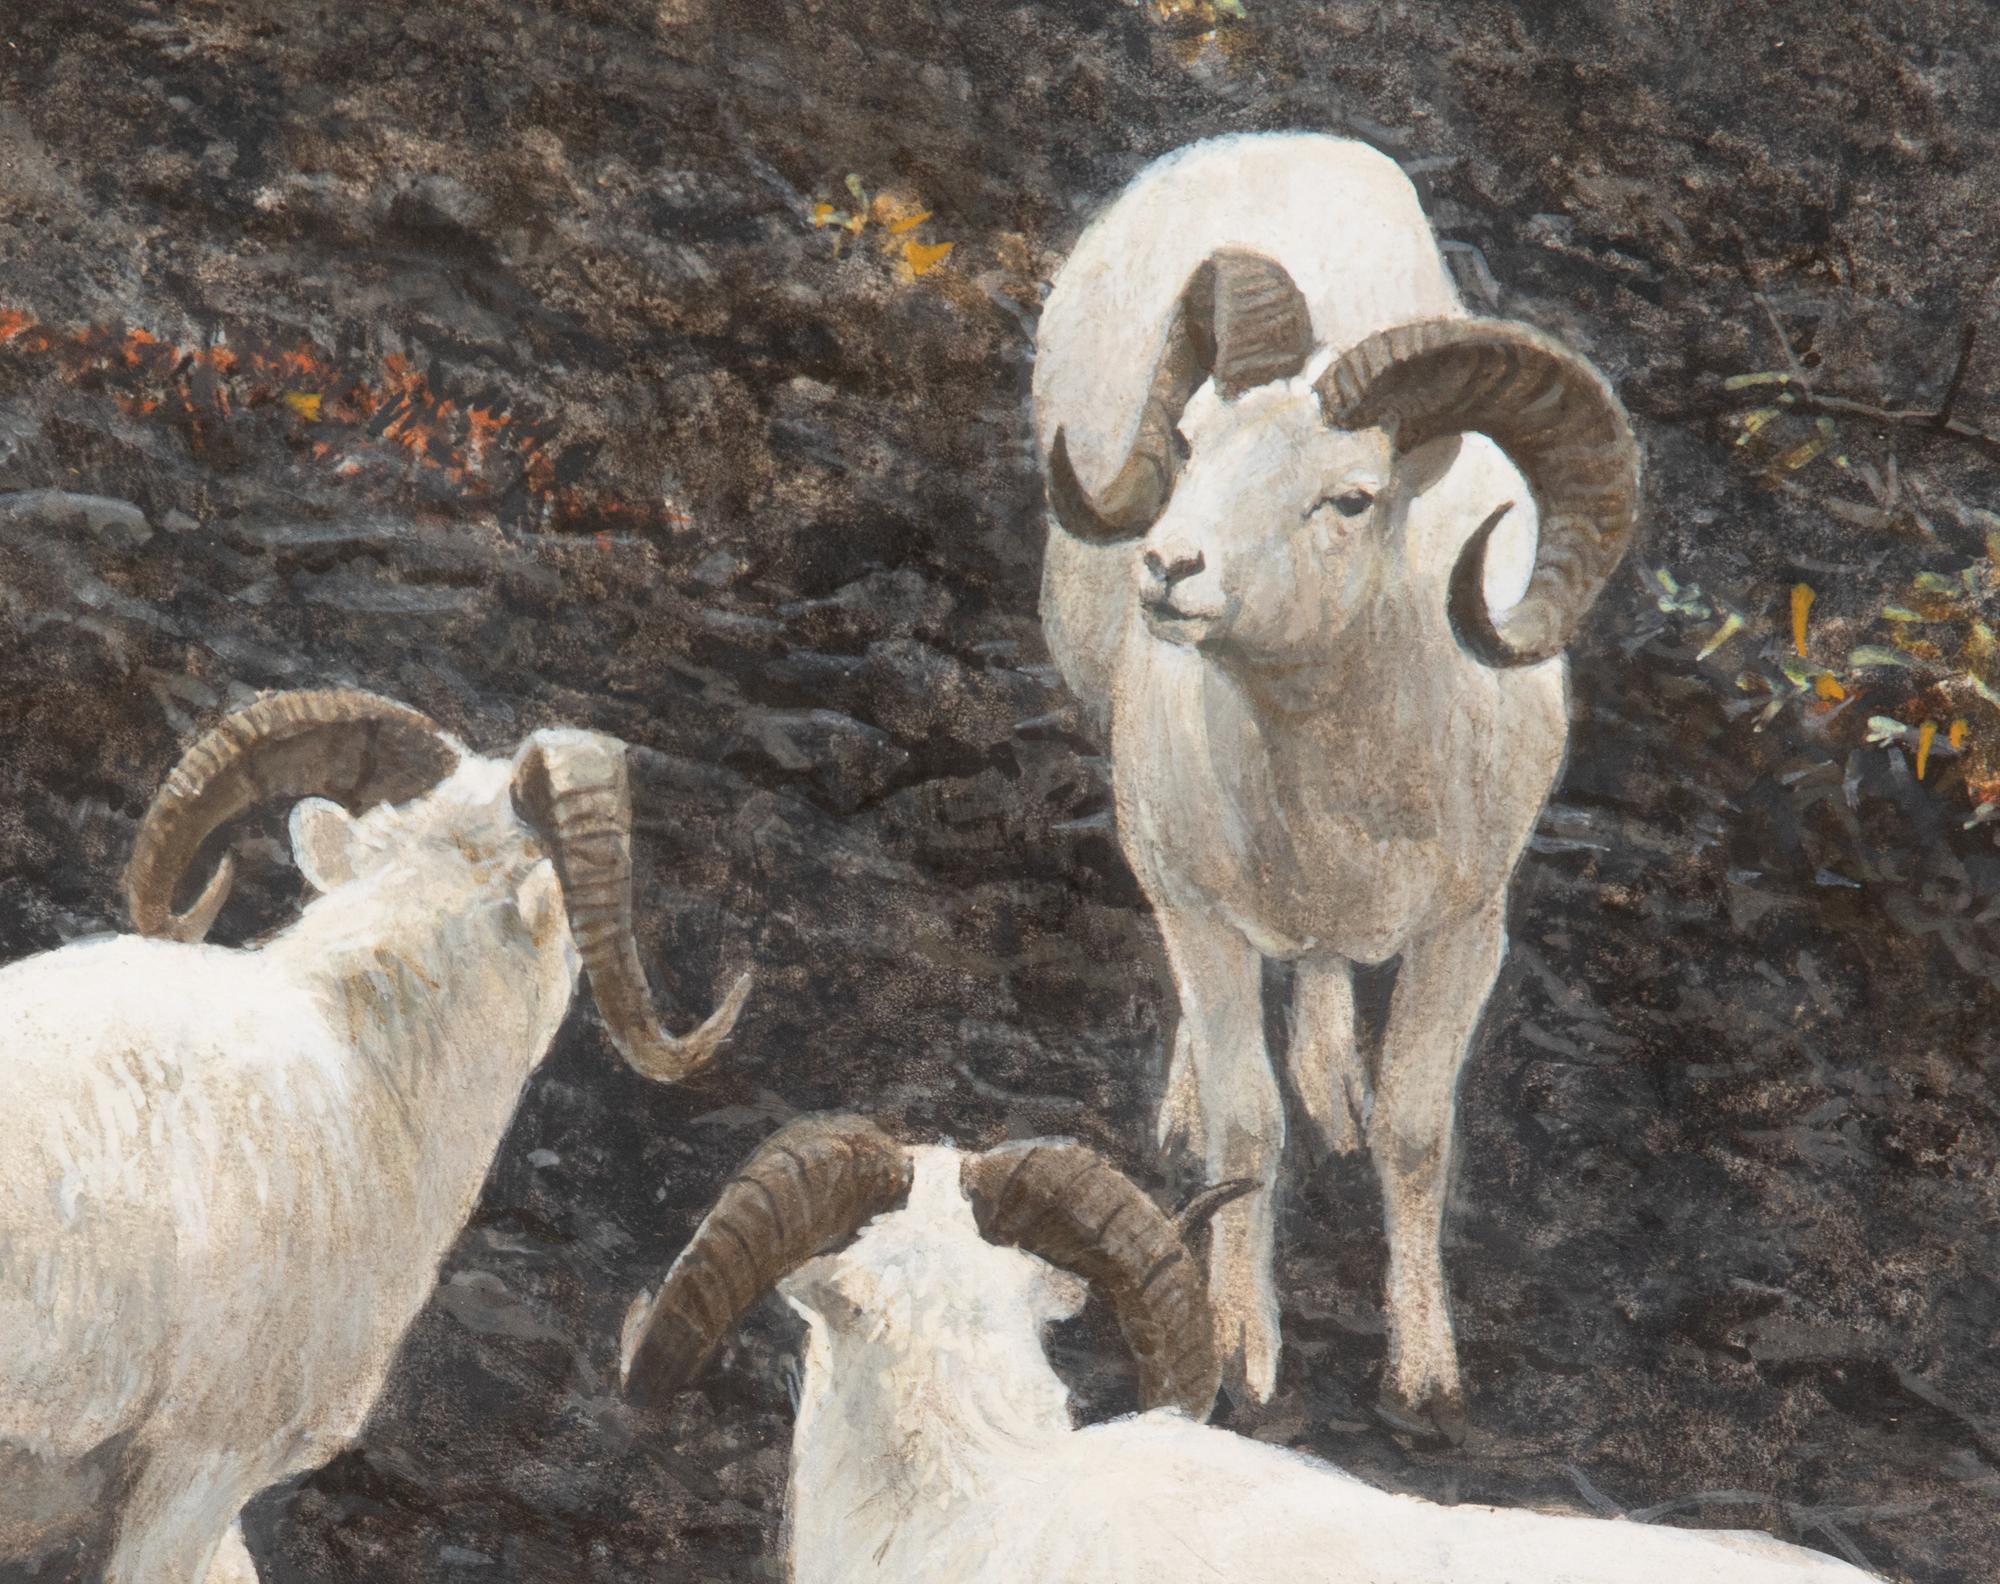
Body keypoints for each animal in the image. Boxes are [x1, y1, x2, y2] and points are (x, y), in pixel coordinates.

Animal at [1031, 130, 1643, 1433]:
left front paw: (1422, 1373)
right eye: (1191, 445)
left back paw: (1332, 1088)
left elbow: (1414, 1134)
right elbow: (1243, 1133)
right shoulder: (1199, 912)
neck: (1331, 810)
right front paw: (1242, 1353)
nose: (1168, 569)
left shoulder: (1465, 931)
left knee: (1318, 981)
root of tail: (1263, 142)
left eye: (1348, 499)